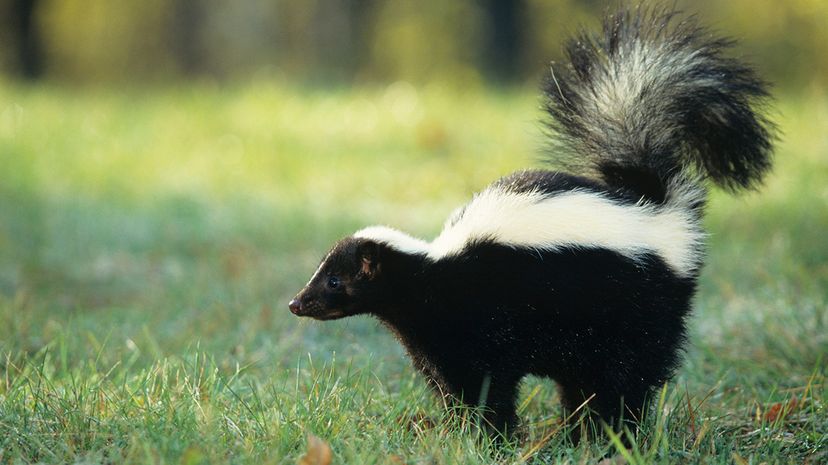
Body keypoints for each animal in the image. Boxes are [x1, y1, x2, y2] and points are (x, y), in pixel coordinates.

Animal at [288, 5, 772, 436]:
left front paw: (490, 435)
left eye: (334, 280)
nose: (296, 303)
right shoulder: (436, 342)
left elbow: (486, 386)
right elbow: (451, 387)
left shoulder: (479, 324)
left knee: (626, 377)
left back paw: (613, 433)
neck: (431, 272)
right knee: (586, 383)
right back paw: (578, 431)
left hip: (635, 310)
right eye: (321, 274)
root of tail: (651, 205)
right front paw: (460, 431)